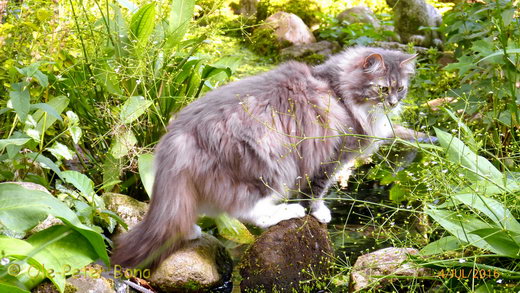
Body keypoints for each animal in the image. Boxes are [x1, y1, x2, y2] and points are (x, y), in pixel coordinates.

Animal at [110, 46, 418, 270]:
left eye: (400, 88)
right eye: (383, 89)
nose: (394, 103)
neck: (337, 89)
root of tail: (179, 134)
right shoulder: (330, 159)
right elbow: (315, 192)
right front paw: (318, 212)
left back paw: (191, 232)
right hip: (268, 169)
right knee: (248, 212)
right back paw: (284, 212)